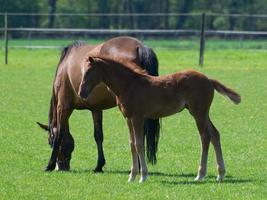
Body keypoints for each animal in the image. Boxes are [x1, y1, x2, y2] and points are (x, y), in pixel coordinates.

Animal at [78, 56, 242, 183]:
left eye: (89, 71)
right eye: (82, 72)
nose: (81, 93)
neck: (129, 85)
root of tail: (208, 79)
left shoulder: (138, 117)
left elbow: (139, 144)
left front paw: (143, 176)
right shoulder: (128, 118)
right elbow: (132, 144)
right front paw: (132, 176)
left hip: (198, 113)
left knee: (205, 137)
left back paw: (200, 175)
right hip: (201, 113)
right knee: (215, 134)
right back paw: (220, 174)